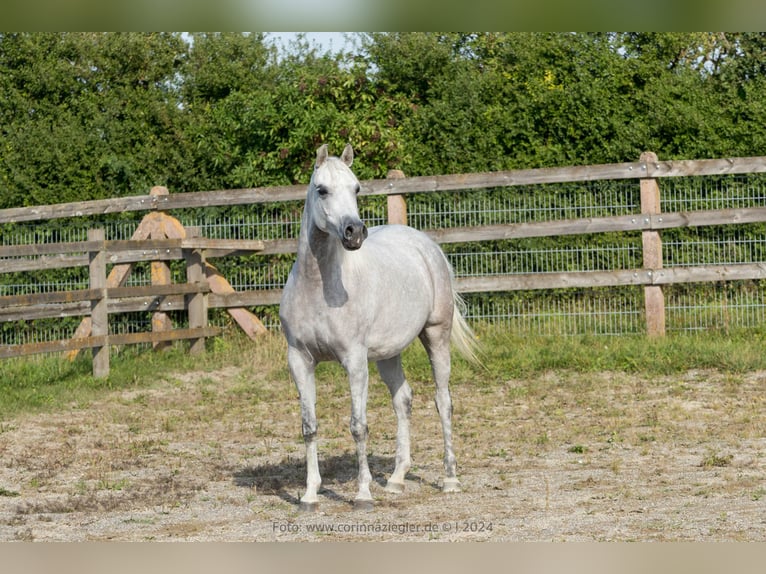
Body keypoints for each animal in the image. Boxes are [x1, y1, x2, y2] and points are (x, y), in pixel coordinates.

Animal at [279, 144, 479, 511]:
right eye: (322, 190)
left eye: (357, 188)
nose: (354, 232)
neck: (320, 288)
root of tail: (424, 244)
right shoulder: (299, 360)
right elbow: (309, 426)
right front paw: (310, 495)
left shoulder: (355, 361)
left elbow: (359, 426)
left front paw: (362, 495)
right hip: (388, 354)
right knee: (403, 400)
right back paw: (397, 479)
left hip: (436, 335)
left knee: (443, 402)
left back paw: (450, 480)